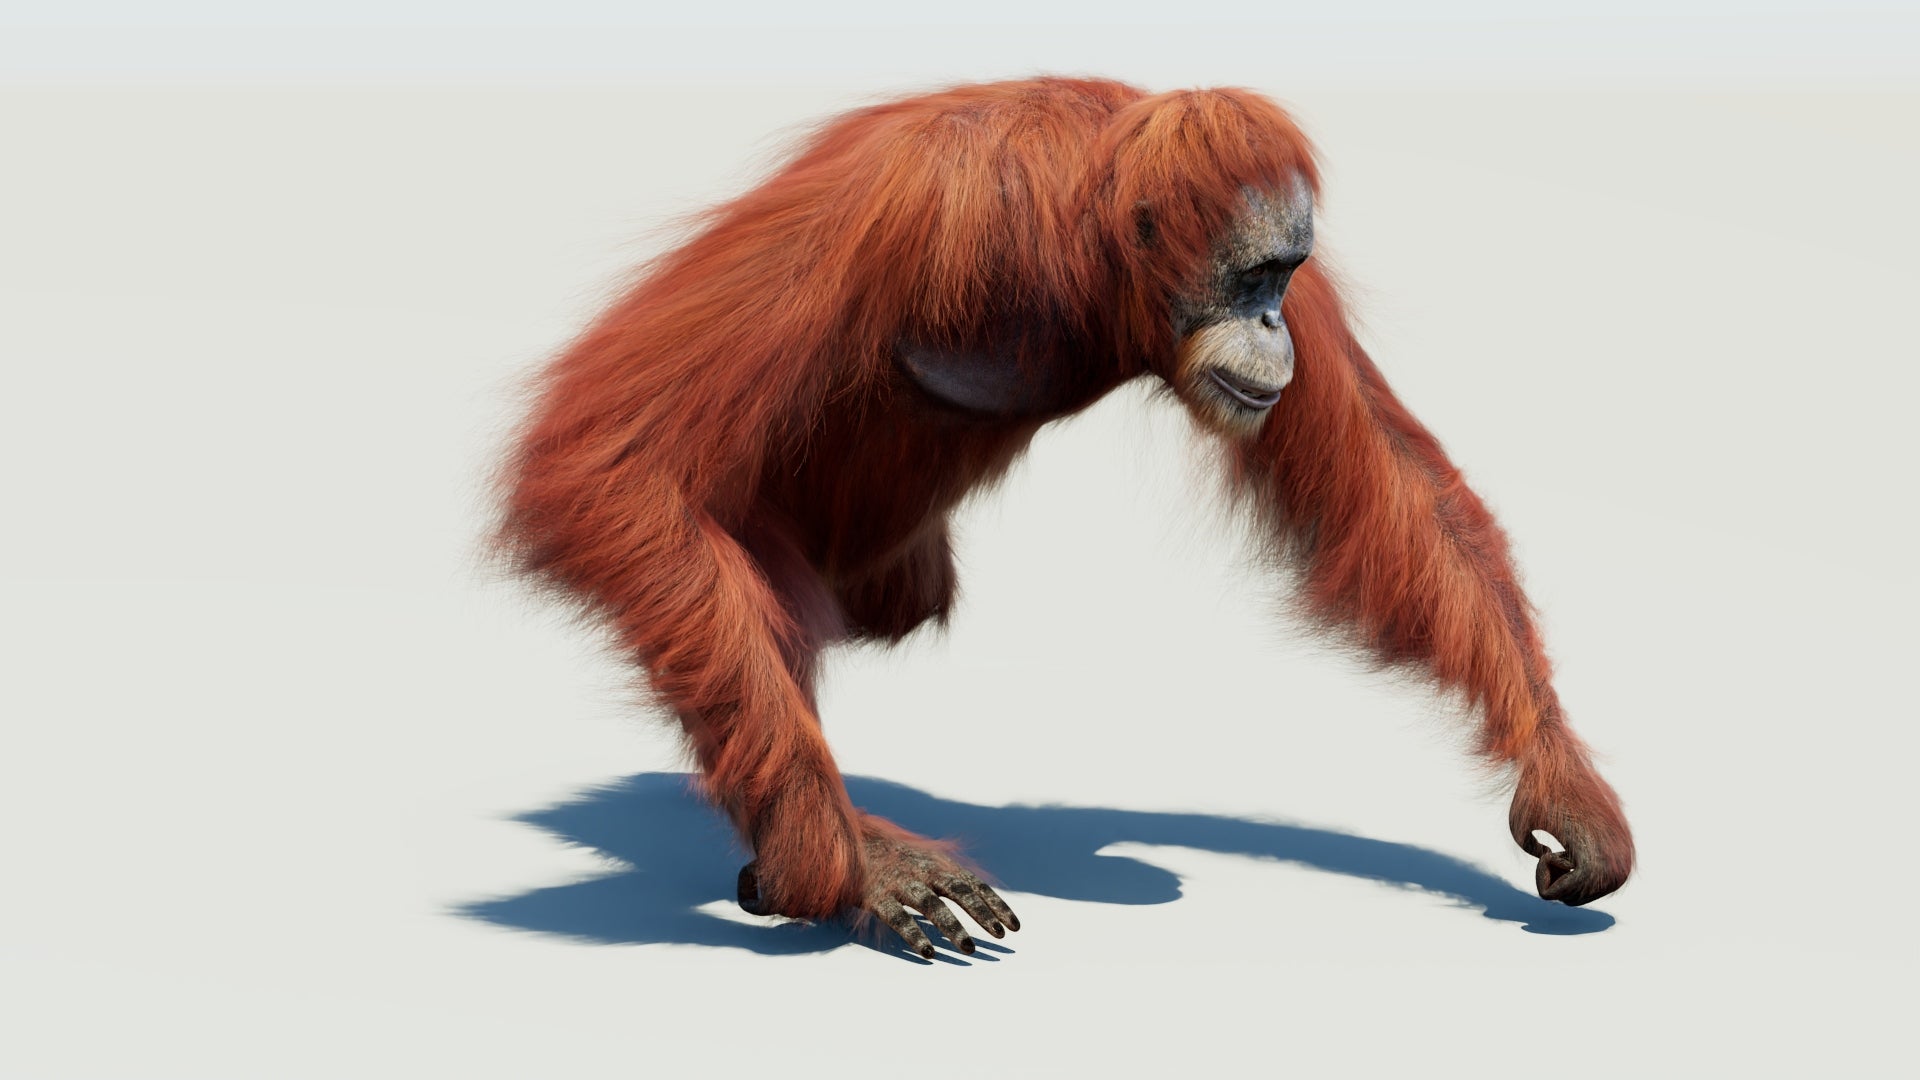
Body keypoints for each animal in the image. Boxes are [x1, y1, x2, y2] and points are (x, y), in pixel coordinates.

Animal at [498, 77, 1635, 959]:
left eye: (1285, 277)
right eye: (1254, 277)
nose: (1271, 321)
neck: (1083, 249)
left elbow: (1395, 489)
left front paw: (1565, 789)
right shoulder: (905, 206)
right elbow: (616, 458)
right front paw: (858, 862)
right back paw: (803, 856)